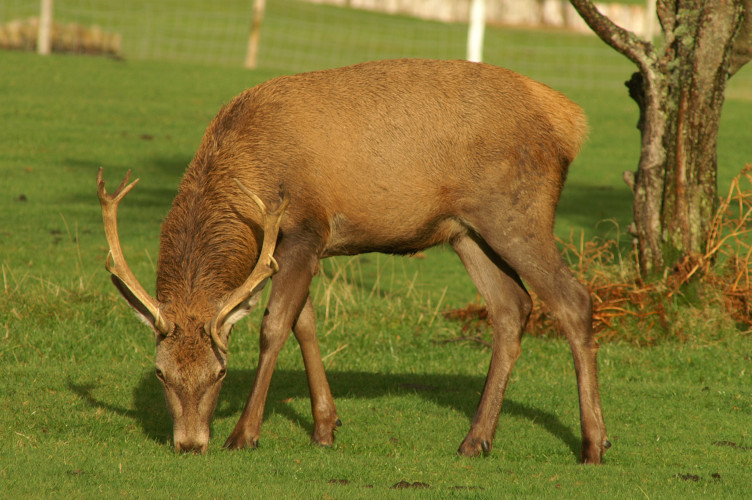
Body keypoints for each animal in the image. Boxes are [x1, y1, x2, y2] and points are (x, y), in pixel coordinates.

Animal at [97, 58, 610, 463]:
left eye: (220, 371)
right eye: (160, 371)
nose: (189, 444)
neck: (248, 172)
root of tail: (572, 122)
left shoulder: (305, 229)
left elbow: (275, 325)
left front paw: (244, 435)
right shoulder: (286, 248)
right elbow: (304, 323)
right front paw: (326, 427)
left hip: (517, 212)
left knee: (573, 300)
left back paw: (593, 444)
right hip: (467, 231)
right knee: (511, 307)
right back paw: (475, 440)